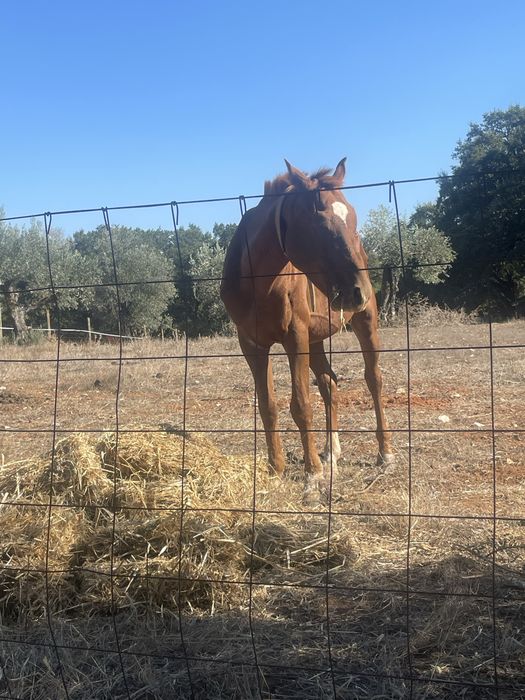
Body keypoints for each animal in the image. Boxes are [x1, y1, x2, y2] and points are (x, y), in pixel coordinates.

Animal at [220, 158, 393, 504]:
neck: (256, 281)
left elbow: (301, 406)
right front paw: (275, 468)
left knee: (374, 380)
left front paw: (312, 477)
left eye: (353, 219)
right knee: (330, 384)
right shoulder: (252, 345)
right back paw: (331, 451)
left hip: (365, 322)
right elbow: (268, 406)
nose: (357, 292)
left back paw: (385, 454)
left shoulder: (294, 338)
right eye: (320, 225)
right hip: (316, 340)